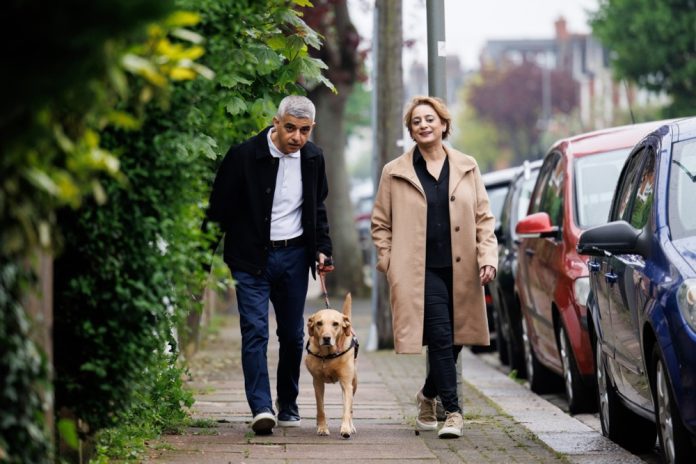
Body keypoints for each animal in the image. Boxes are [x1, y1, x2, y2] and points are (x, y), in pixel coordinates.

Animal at [304, 294, 358, 438]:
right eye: (319, 323)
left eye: (335, 324)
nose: (326, 338)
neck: (328, 356)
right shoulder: (317, 383)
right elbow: (320, 408)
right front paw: (323, 428)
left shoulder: (346, 384)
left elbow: (346, 409)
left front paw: (346, 428)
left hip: (354, 382)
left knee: (350, 408)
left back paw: (351, 426)